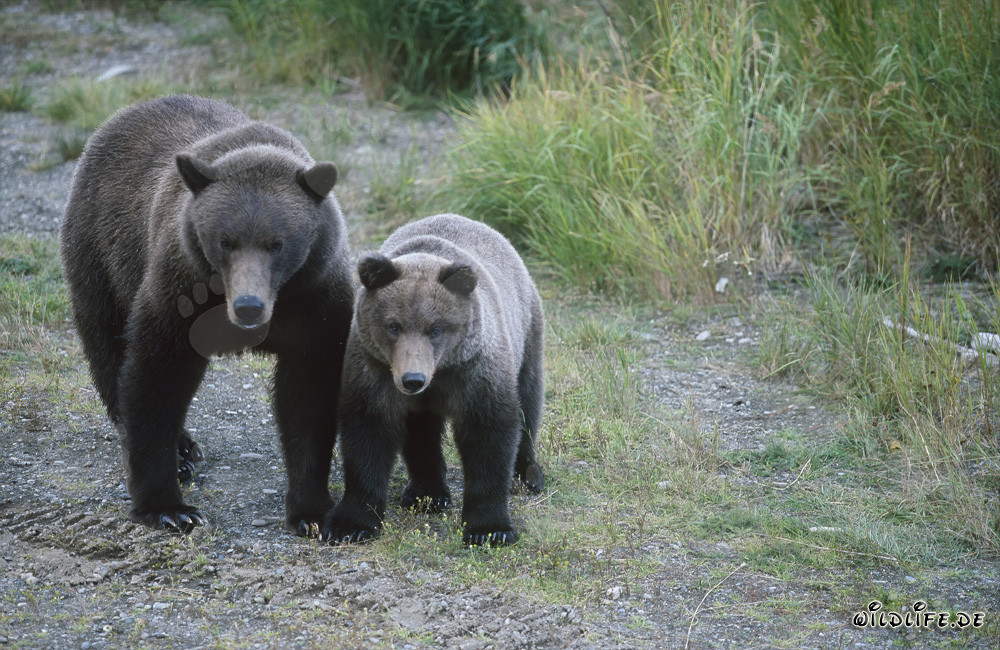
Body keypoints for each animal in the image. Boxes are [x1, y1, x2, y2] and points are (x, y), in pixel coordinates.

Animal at [60, 95, 354, 534]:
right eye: (225, 241)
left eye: (277, 243)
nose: (248, 306)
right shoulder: (179, 290)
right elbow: (156, 375)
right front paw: (170, 507)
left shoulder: (317, 301)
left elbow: (309, 396)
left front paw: (312, 513)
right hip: (101, 254)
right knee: (108, 346)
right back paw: (182, 449)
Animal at [323, 213, 545, 547]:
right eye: (393, 326)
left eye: (436, 328)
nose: (412, 379)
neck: (440, 372)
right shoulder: (373, 370)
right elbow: (368, 434)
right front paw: (350, 523)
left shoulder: (474, 371)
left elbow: (489, 434)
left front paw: (489, 528)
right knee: (421, 432)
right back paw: (426, 493)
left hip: (526, 331)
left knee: (528, 401)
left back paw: (529, 473)